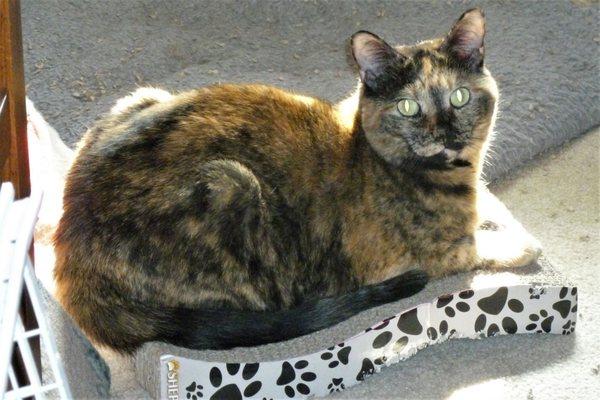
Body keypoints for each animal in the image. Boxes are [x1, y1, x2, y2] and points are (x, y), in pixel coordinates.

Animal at [55, 9, 540, 352]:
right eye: (408, 107)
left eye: (459, 97)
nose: (444, 133)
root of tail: (71, 263)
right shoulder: (429, 255)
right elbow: (485, 245)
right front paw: (523, 244)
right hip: (232, 185)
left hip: (144, 96)